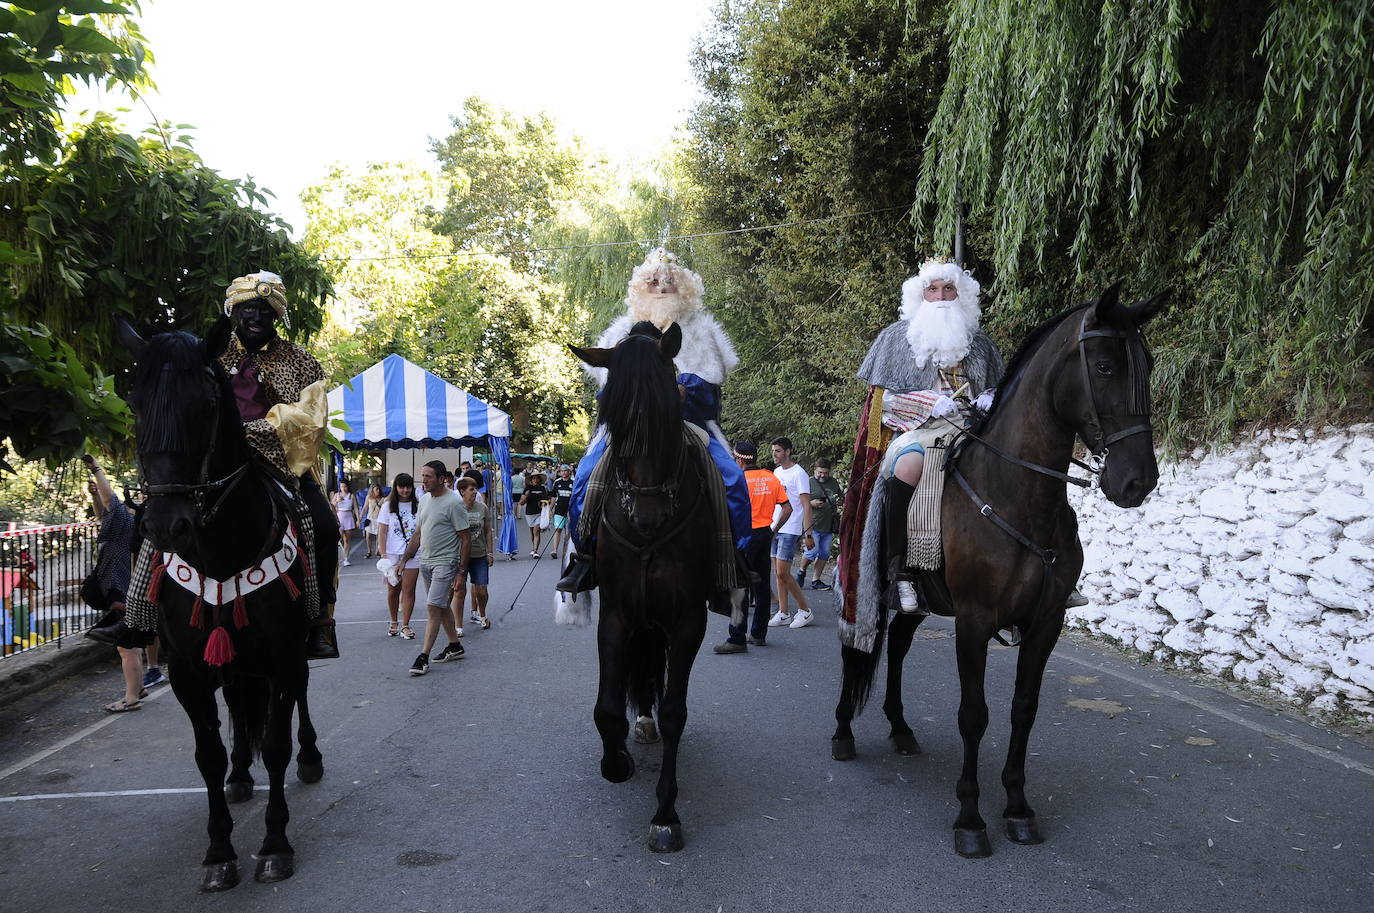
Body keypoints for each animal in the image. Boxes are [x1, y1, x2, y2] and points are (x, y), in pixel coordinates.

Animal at [117, 319, 321, 891]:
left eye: (205, 404)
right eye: (135, 402)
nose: (166, 524)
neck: (223, 549)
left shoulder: (282, 655)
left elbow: (276, 744)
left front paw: (274, 844)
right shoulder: (188, 668)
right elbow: (206, 753)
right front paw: (218, 851)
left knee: (298, 698)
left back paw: (310, 757)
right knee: (234, 701)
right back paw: (238, 775)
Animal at [568, 323, 719, 858]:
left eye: (670, 411)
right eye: (610, 415)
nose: (647, 517)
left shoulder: (687, 621)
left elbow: (675, 712)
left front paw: (665, 814)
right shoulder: (617, 614)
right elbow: (607, 707)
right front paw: (616, 762)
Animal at [824, 280, 1170, 858]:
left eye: (1144, 365)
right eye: (1103, 366)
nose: (1136, 481)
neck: (1018, 496)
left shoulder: (1045, 621)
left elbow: (1022, 709)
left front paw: (1017, 807)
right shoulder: (974, 620)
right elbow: (974, 714)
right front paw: (970, 818)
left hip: (923, 605)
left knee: (898, 645)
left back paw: (900, 728)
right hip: (864, 582)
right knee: (860, 646)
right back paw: (843, 733)